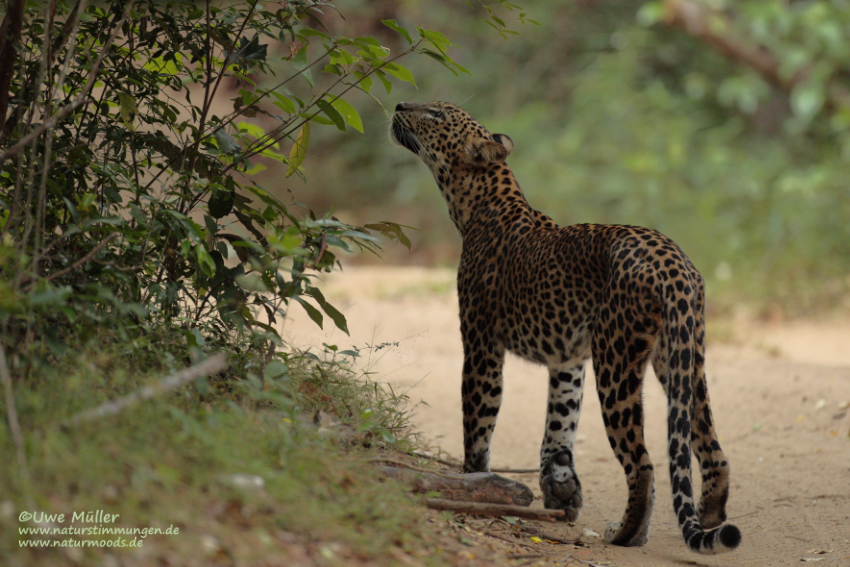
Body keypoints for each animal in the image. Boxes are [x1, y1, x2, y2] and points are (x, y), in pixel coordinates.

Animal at [390, 101, 741, 555]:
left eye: (435, 114)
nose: (399, 105)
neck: (474, 203)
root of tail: (673, 262)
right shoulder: (568, 359)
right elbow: (559, 426)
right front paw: (560, 489)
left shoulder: (482, 346)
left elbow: (478, 424)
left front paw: (473, 482)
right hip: (683, 358)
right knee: (711, 447)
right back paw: (710, 515)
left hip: (616, 362)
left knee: (643, 463)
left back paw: (626, 534)